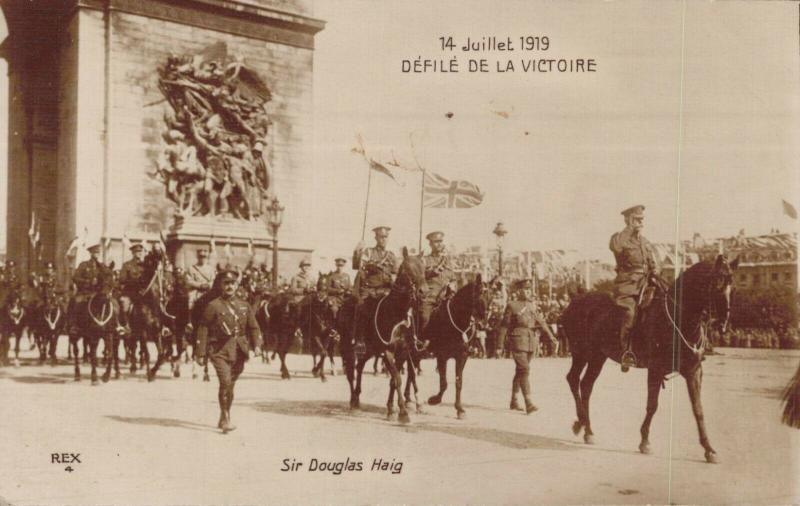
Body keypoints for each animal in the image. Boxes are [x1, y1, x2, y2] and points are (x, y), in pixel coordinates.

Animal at [334, 249, 428, 422]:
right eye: (407, 269)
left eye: (424, 268)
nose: (423, 292)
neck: (396, 313)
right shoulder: (388, 352)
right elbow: (397, 379)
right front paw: (403, 413)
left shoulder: (403, 352)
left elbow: (393, 380)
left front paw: (391, 409)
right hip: (347, 347)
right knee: (350, 373)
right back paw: (352, 401)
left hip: (368, 351)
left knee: (359, 367)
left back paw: (357, 398)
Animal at [424, 276, 488, 420]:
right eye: (478, 294)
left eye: (489, 294)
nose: (483, 322)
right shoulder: (442, 356)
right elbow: (444, 382)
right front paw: (434, 400)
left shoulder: (462, 357)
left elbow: (459, 382)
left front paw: (459, 409)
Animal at [564, 255, 736, 464]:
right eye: (716, 284)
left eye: (732, 286)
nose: (724, 323)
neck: (677, 319)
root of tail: (576, 299)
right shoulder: (655, 369)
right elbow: (652, 406)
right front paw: (645, 441)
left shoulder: (694, 371)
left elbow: (698, 409)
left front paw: (709, 449)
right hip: (581, 352)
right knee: (573, 379)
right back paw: (581, 422)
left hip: (598, 357)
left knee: (586, 385)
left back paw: (587, 429)